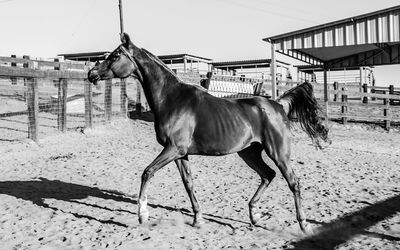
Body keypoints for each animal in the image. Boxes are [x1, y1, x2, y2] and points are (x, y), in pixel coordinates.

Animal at [87, 32, 328, 232]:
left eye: (115, 56)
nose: (91, 73)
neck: (171, 99)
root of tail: (278, 104)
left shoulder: (173, 149)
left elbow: (147, 172)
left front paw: (143, 214)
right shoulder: (180, 154)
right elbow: (188, 183)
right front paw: (198, 219)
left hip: (278, 153)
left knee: (293, 182)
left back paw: (303, 224)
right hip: (249, 152)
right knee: (268, 175)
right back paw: (255, 216)